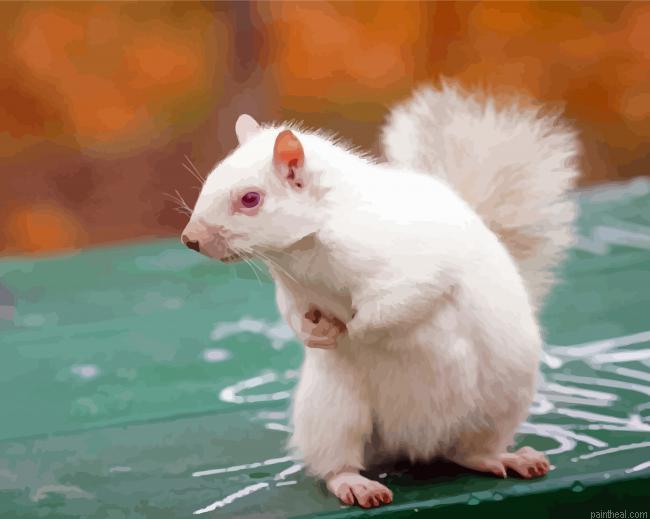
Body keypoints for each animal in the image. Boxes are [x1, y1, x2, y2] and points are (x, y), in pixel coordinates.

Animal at [182, 82, 579, 508]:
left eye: (251, 199)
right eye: (211, 178)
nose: (190, 239)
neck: (304, 251)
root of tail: (415, 443)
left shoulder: (414, 269)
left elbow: (396, 306)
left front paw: (351, 332)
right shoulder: (293, 292)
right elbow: (292, 315)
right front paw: (316, 335)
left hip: (501, 401)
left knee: (469, 451)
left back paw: (504, 458)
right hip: (333, 412)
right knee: (338, 461)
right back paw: (356, 484)